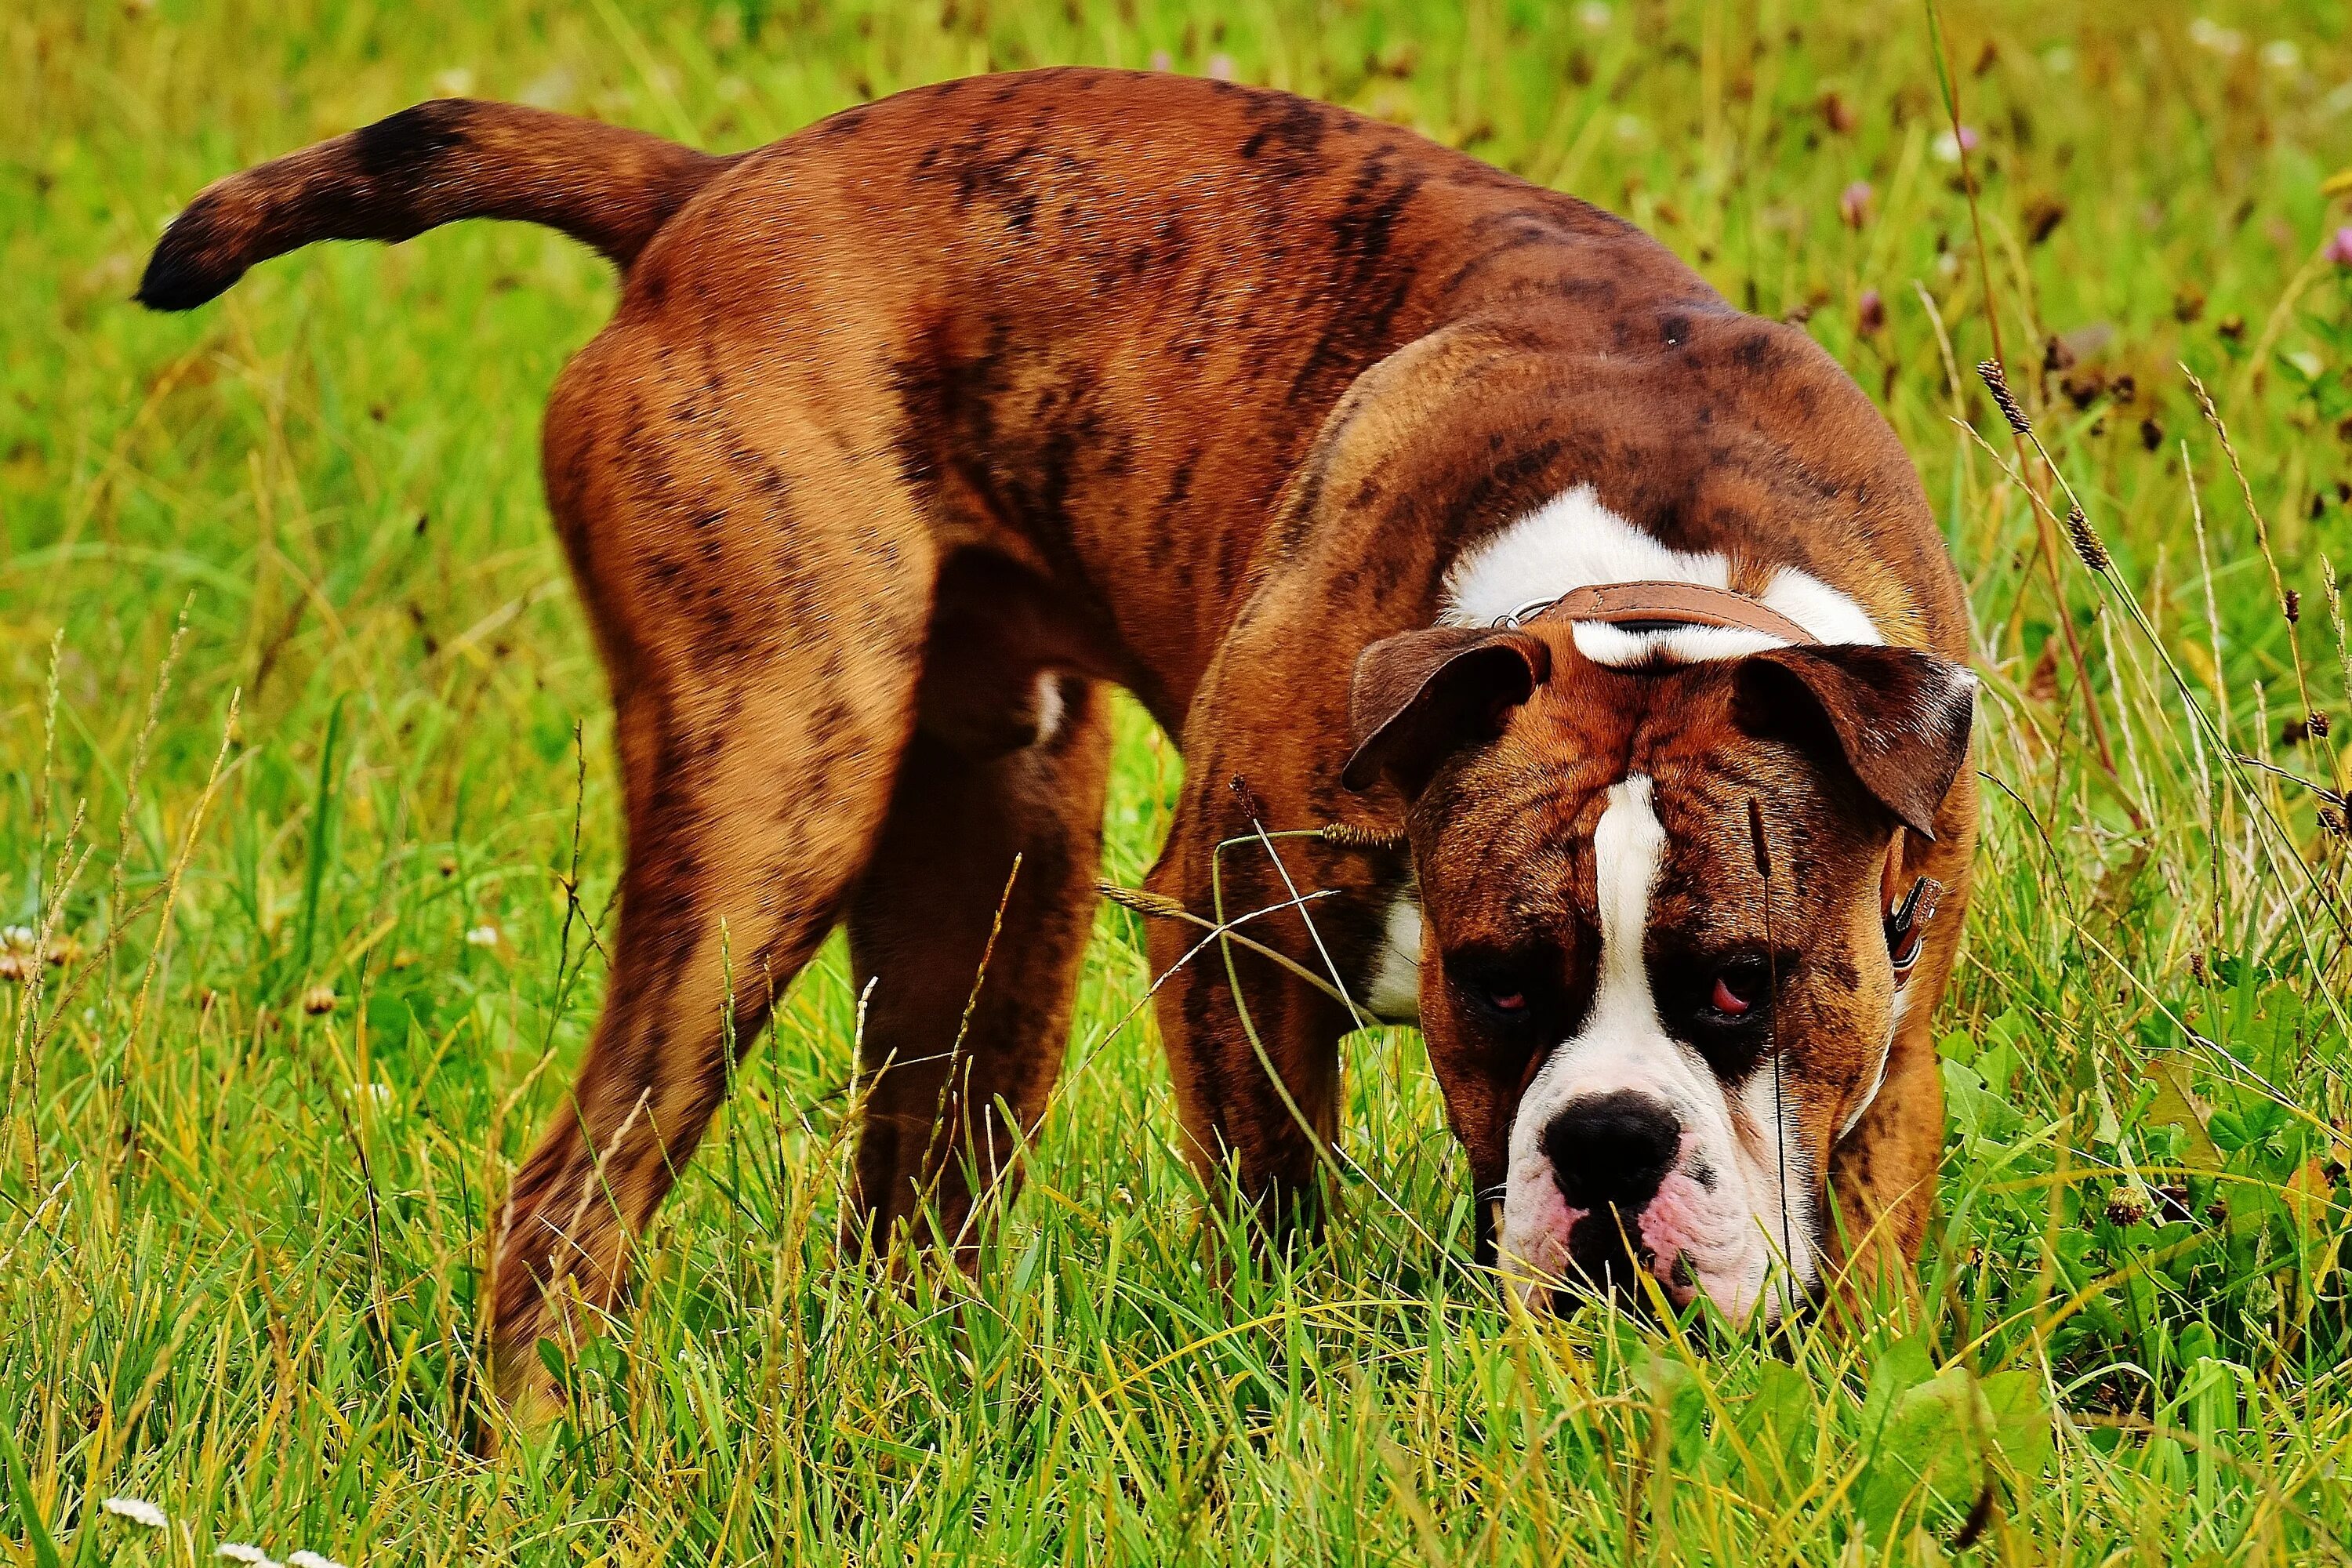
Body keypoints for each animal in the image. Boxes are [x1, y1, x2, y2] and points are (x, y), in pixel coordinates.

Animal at [137, 70, 1976, 1420]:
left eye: (1741, 984)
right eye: (1497, 982)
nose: (1604, 1145)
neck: (1647, 585)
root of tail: (712, 189)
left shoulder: (1897, 1025)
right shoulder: (1232, 933)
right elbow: (1274, 1209)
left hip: (989, 885)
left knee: (909, 1198)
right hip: (767, 808)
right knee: (571, 1199)